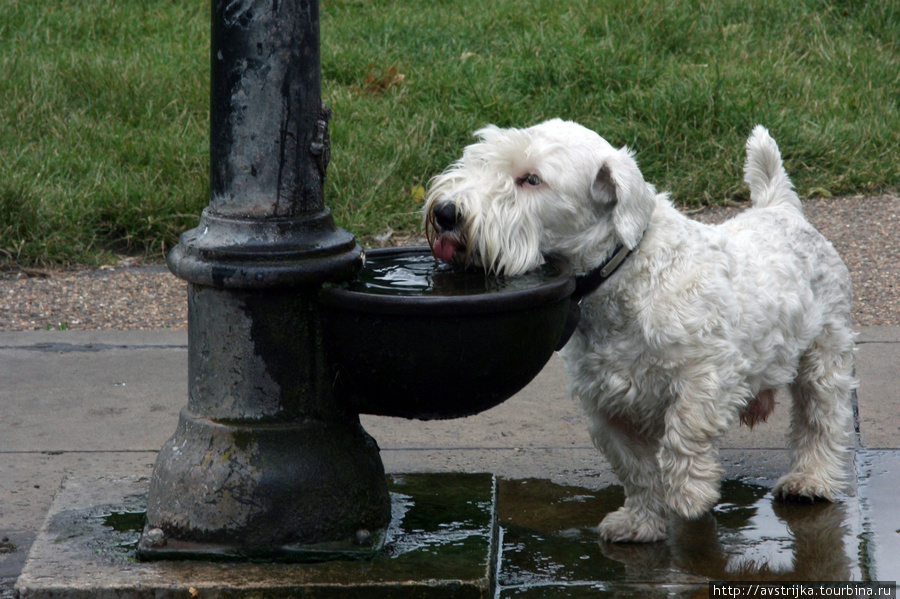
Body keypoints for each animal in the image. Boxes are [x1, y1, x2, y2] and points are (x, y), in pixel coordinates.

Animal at [426, 119, 856, 540]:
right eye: (482, 158)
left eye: (531, 179)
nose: (446, 212)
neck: (621, 275)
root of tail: (782, 210)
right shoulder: (607, 404)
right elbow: (635, 469)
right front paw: (641, 522)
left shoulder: (707, 375)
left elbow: (685, 431)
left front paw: (690, 493)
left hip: (823, 355)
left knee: (820, 419)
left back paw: (810, 480)